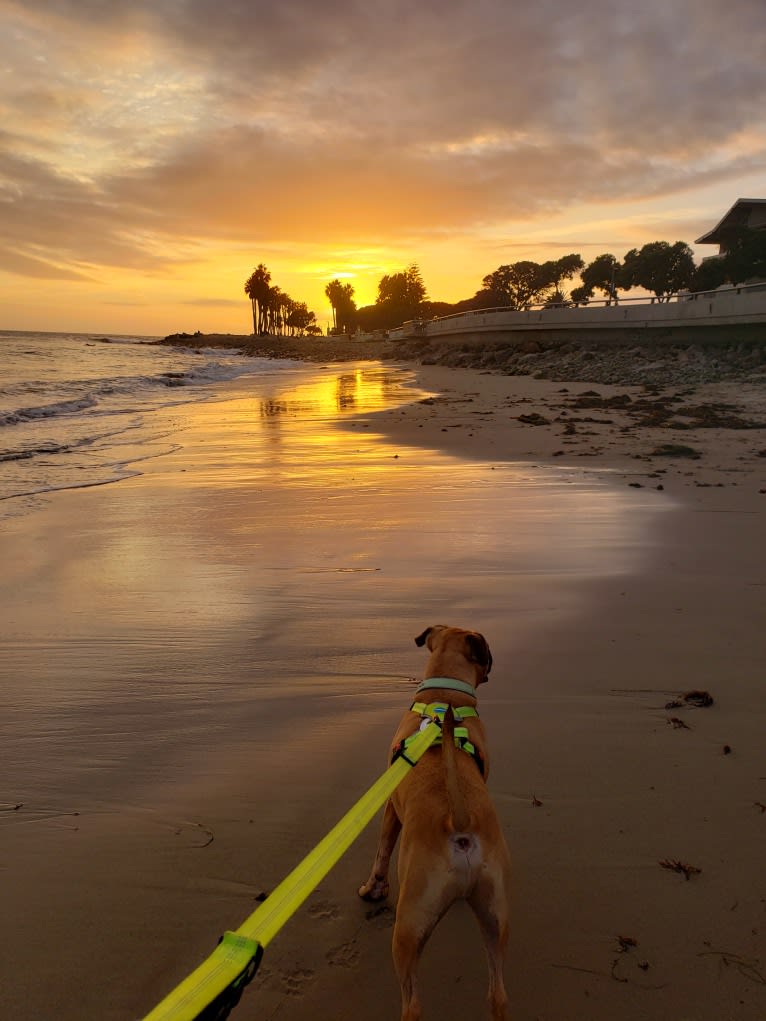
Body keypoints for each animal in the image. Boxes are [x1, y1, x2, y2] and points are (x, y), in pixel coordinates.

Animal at [359, 624, 510, 1021]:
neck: (445, 696)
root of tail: (458, 821)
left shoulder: (390, 809)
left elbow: (382, 850)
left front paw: (373, 888)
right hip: (494, 915)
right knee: (498, 993)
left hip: (408, 926)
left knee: (412, 1003)